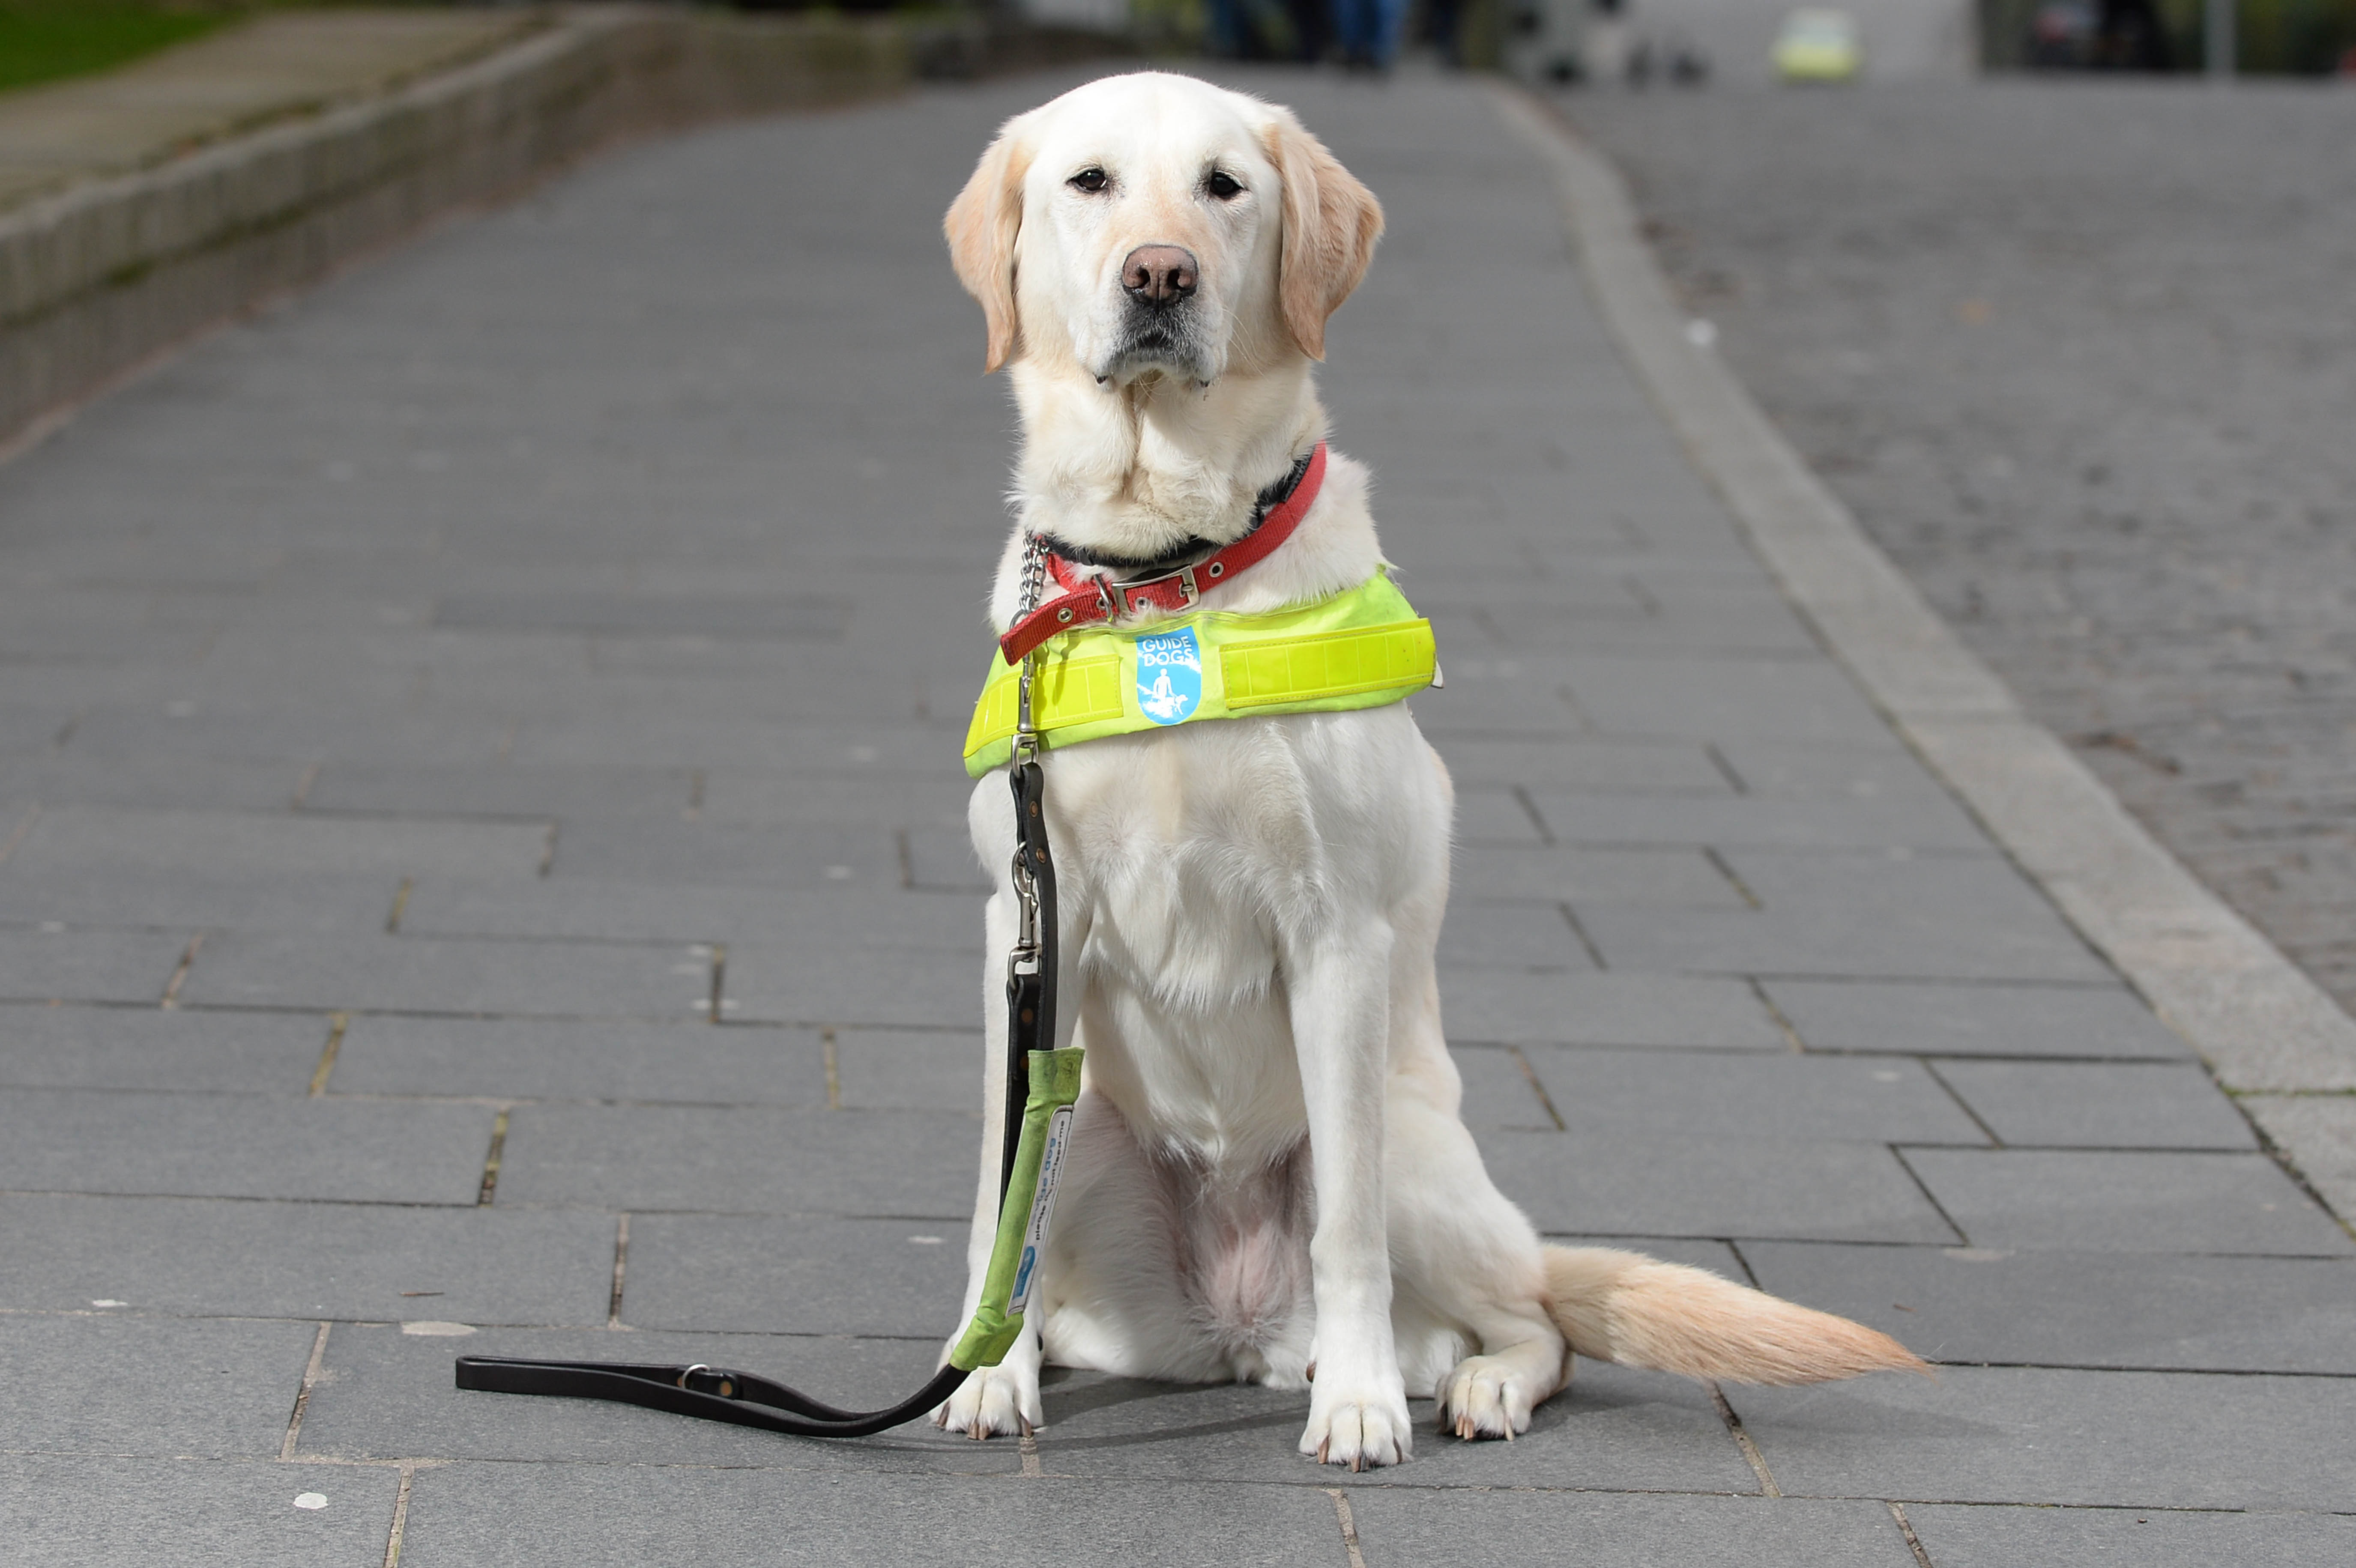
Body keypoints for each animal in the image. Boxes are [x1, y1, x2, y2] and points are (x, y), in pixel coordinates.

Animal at [924, 73, 1913, 1469]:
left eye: (1225, 186)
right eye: (1090, 182)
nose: (1160, 273)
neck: (1168, 572)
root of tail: (1237, 1334)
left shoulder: (1336, 930)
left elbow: (1347, 1229)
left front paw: (1358, 1403)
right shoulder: (1028, 923)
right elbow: (994, 1190)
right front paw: (982, 1373)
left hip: (1418, 1153)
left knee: (1526, 1314)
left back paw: (1456, 1382)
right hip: (1105, 1132)